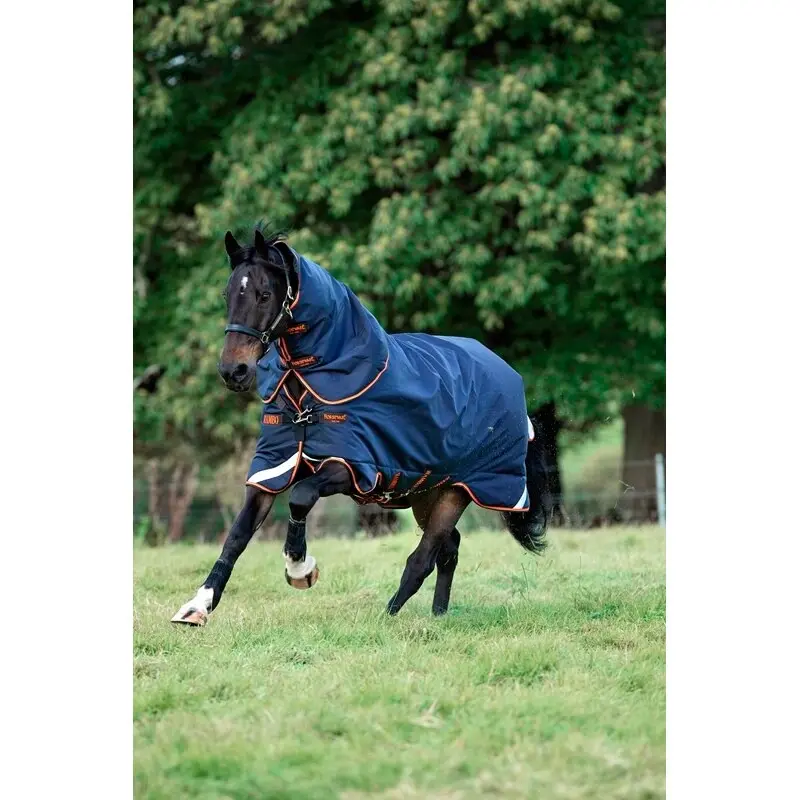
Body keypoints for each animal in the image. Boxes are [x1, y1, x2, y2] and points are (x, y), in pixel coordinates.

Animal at [171, 228, 549, 626]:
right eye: (227, 294)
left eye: (263, 294)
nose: (234, 371)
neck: (312, 390)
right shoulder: (273, 466)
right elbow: (237, 535)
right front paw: (198, 606)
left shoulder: (351, 467)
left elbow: (301, 497)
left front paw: (300, 569)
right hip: (425, 493)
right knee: (449, 550)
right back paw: (437, 616)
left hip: (458, 491)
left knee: (423, 558)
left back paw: (389, 617)